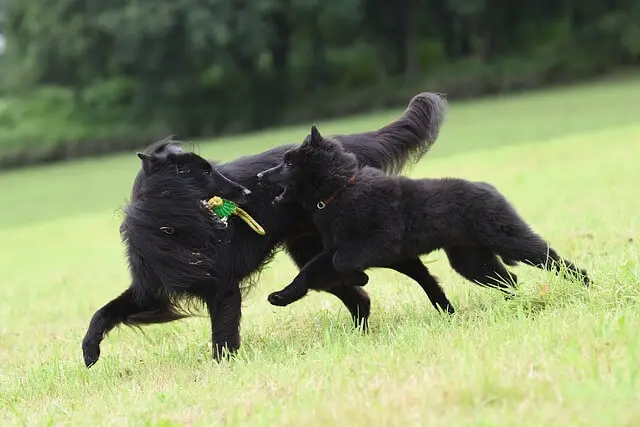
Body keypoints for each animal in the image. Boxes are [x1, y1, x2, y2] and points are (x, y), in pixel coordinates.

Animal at [81, 92, 450, 366]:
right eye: (202, 173)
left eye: (211, 169)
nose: (246, 192)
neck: (172, 226)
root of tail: (342, 147)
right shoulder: (152, 287)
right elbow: (104, 312)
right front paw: (89, 351)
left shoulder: (223, 287)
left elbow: (222, 335)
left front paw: (223, 368)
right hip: (311, 253)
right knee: (356, 295)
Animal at [254, 125, 592, 310]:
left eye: (287, 164)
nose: (259, 176)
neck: (340, 190)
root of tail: (489, 188)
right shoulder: (335, 248)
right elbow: (311, 270)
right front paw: (283, 296)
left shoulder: (381, 241)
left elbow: (342, 262)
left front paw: (359, 277)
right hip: (472, 260)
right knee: (509, 278)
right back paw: (515, 302)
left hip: (507, 237)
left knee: (549, 258)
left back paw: (586, 283)